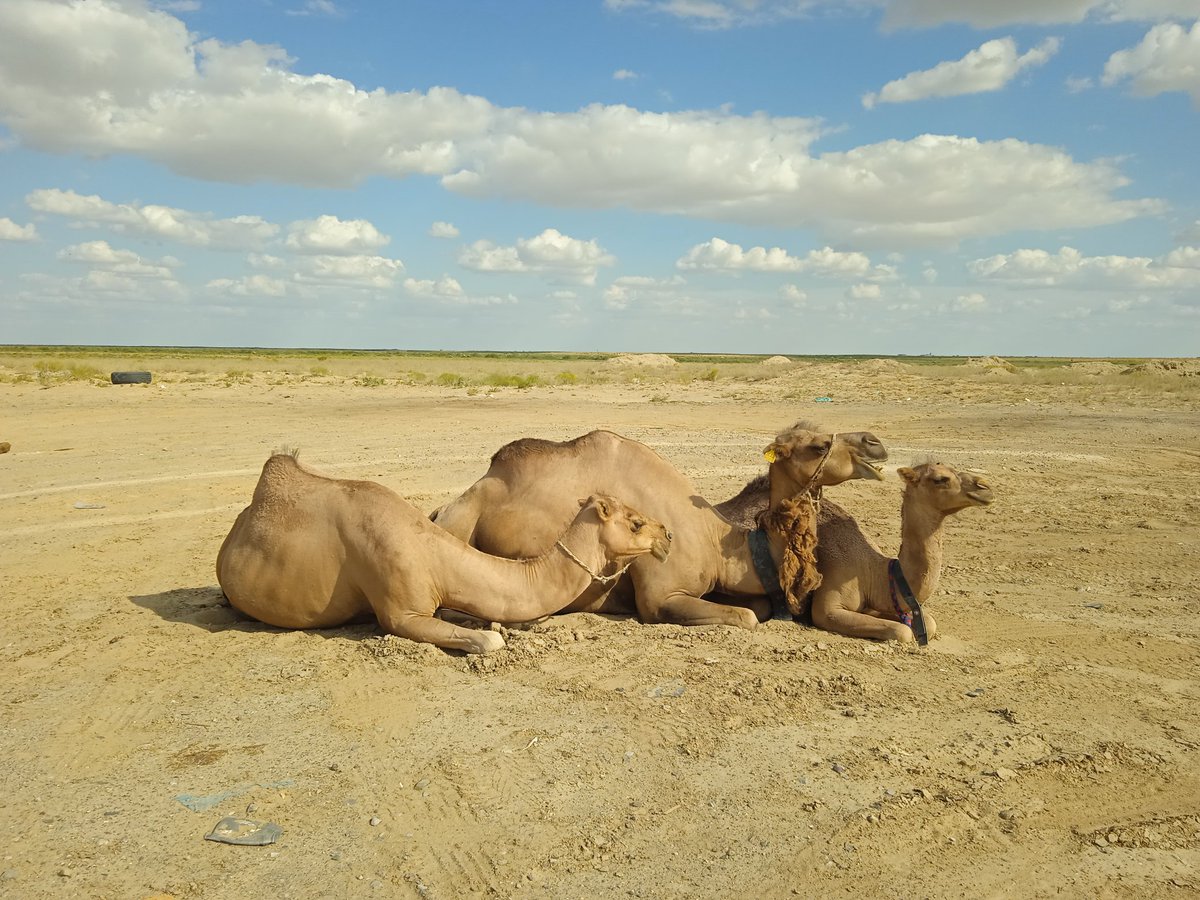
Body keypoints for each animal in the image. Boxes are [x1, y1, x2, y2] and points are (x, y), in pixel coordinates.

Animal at [431, 423, 888, 629]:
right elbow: (746, 616)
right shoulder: (660, 597)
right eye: (819, 445)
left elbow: (755, 608)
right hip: (460, 525)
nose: (875, 443)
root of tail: (443, 509)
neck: (716, 542)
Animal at [808, 461, 994, 644]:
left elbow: (929, 622)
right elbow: (902, 631)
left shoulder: (875, 605)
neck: (875, 573)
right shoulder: (828, 609)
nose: (985, 486)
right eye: (940, 479)